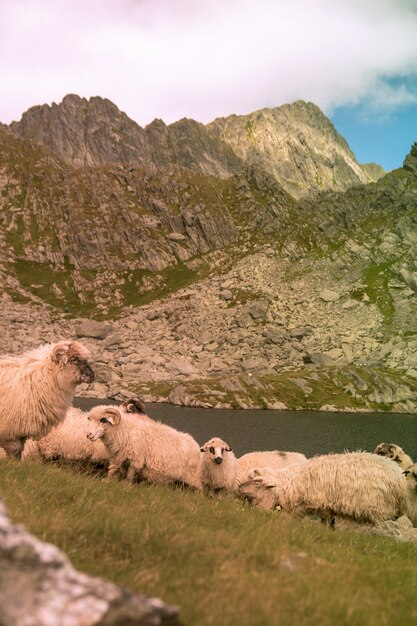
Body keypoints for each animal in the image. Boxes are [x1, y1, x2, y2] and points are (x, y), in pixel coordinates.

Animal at [239, 448, 408, 528]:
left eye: (257, 482)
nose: (239, 488)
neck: (291, 481)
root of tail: (398, 476)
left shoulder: (323, 505)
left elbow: (328, 523)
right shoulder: (324, 508)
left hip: (380, 509)